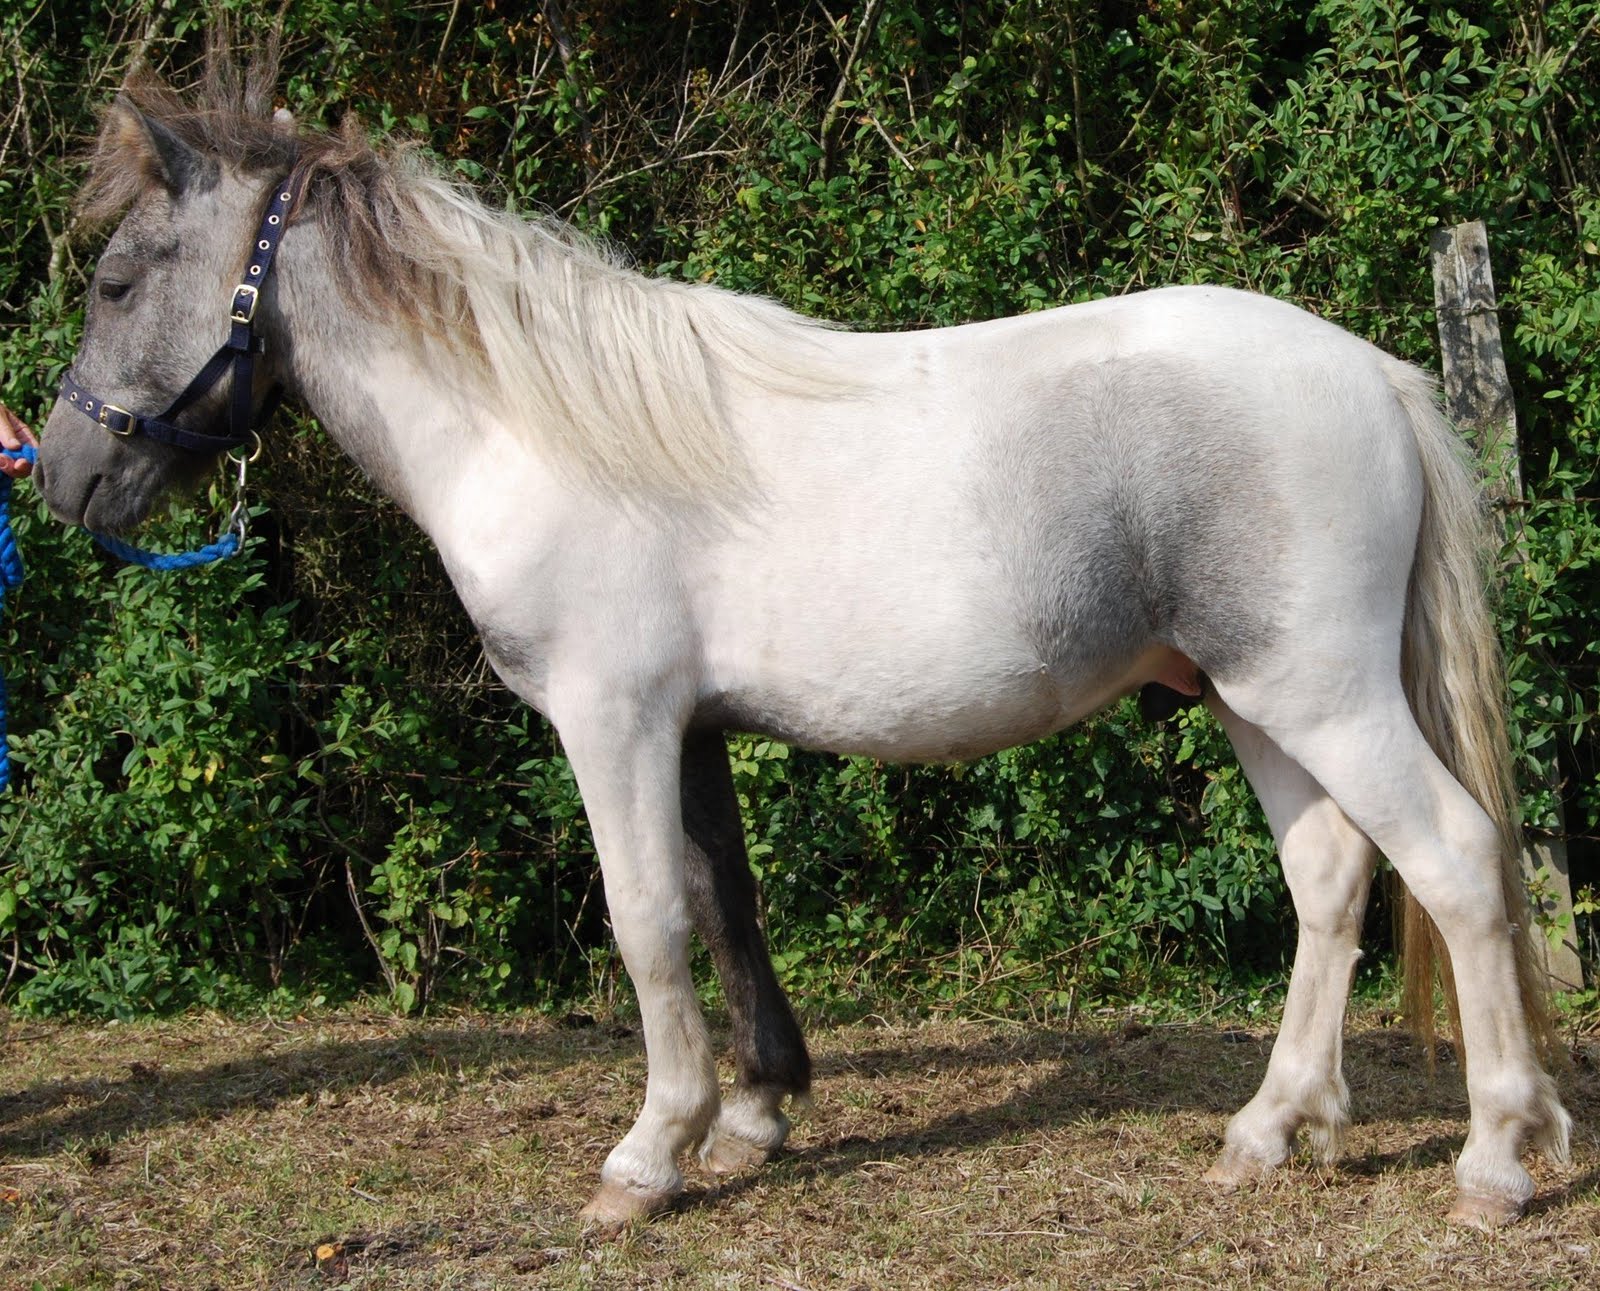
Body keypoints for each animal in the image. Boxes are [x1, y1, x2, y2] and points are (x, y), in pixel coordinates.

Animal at [36, 58, 1571, 1230]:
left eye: (114, 281)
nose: (60, 477)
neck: (541, 426)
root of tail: (1372, 374)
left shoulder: (613, 718)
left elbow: (645, 920)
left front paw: (647, 1156)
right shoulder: (692, 727)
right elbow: (723, 904)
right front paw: (757, 1113)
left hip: (1320, 695)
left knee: (1454, 862)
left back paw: (1494, 1160)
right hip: (1254, 697)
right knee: (1330, 880)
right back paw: (1270, 1128)